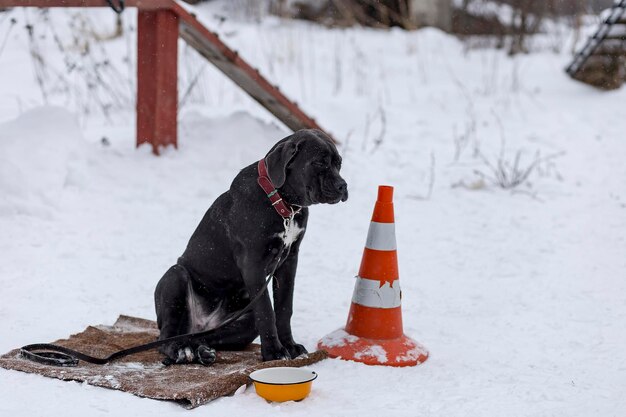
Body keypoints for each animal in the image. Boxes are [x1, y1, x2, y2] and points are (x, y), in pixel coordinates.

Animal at [152, 127, 346, 364]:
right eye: (319, 162)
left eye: (339, 163)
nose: (343, 186)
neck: (283, 203)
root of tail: (201, 324)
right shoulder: (253, 262)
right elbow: (267, 311)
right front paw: (274, 352)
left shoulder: (289, 260)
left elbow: (284, 308)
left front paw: (290, 346)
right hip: (176, 276)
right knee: (166, 337)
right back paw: (182, 351)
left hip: (243, 321)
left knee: (203, 337)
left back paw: (201, 351)